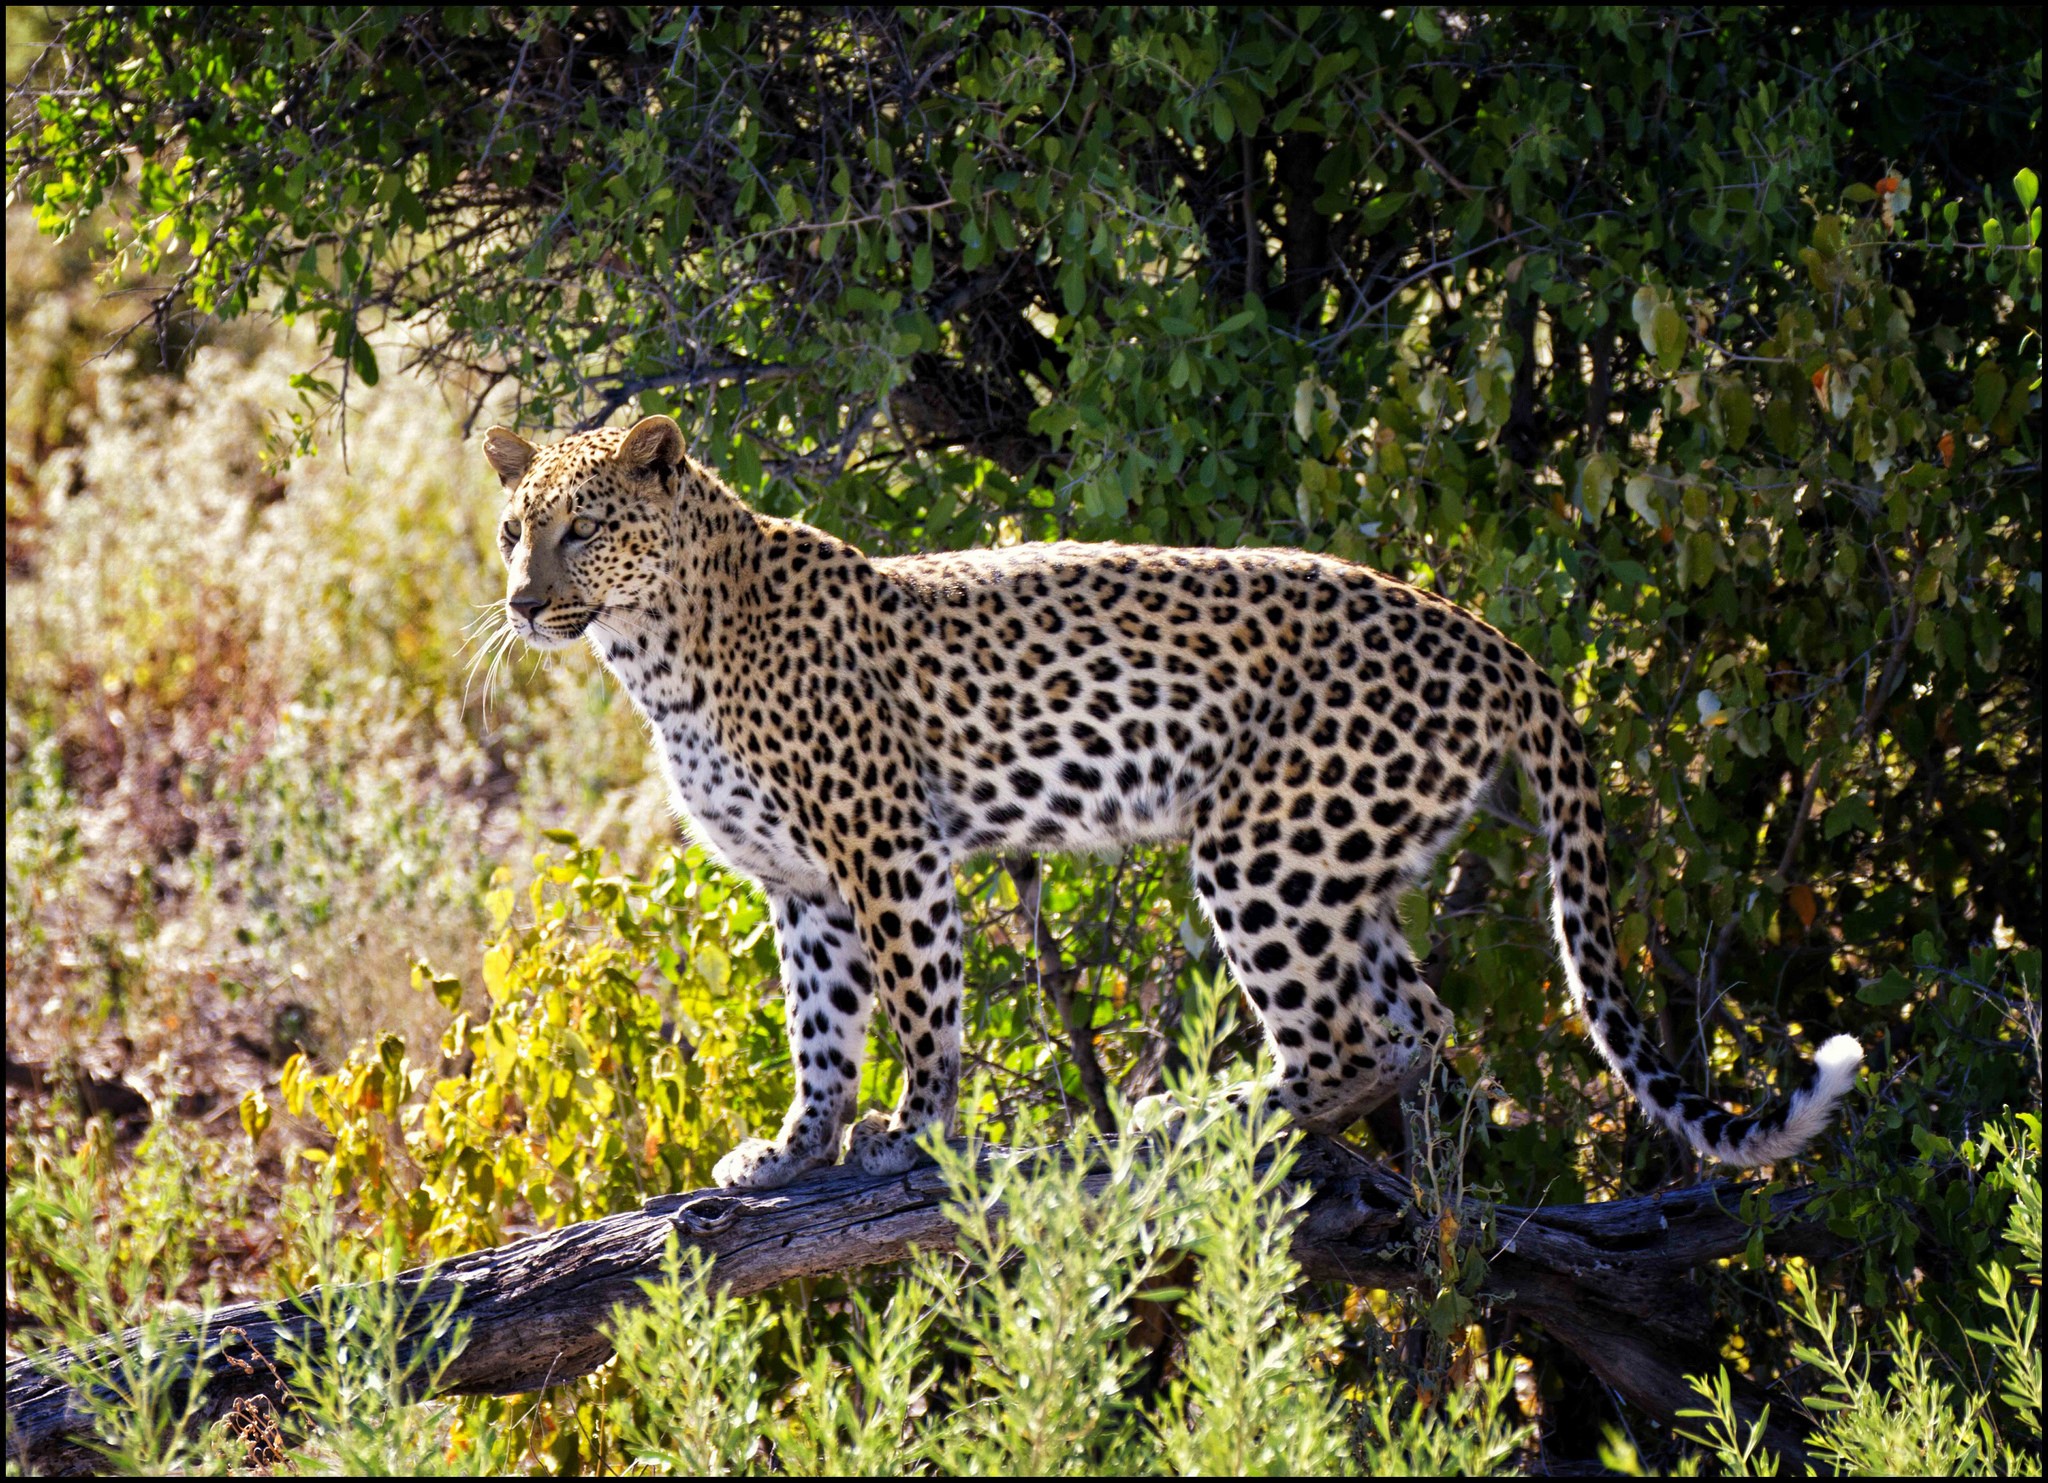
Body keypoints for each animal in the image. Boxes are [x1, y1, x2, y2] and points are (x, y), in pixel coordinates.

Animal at [483, 413, 1862, 1190]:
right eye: (512, 528)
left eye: (585, 528)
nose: (519, 600)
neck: (657, 655)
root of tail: (1489, 636)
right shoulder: (801, 881)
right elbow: (817, 1027)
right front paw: (795, 1147)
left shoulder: (889, 849)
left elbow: (922, 1009)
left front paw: (910, 1130)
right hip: (1347, 859)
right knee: (1412, 1028)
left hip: (1261, 849)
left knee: (1336, 1042)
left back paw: (1190, 1112)